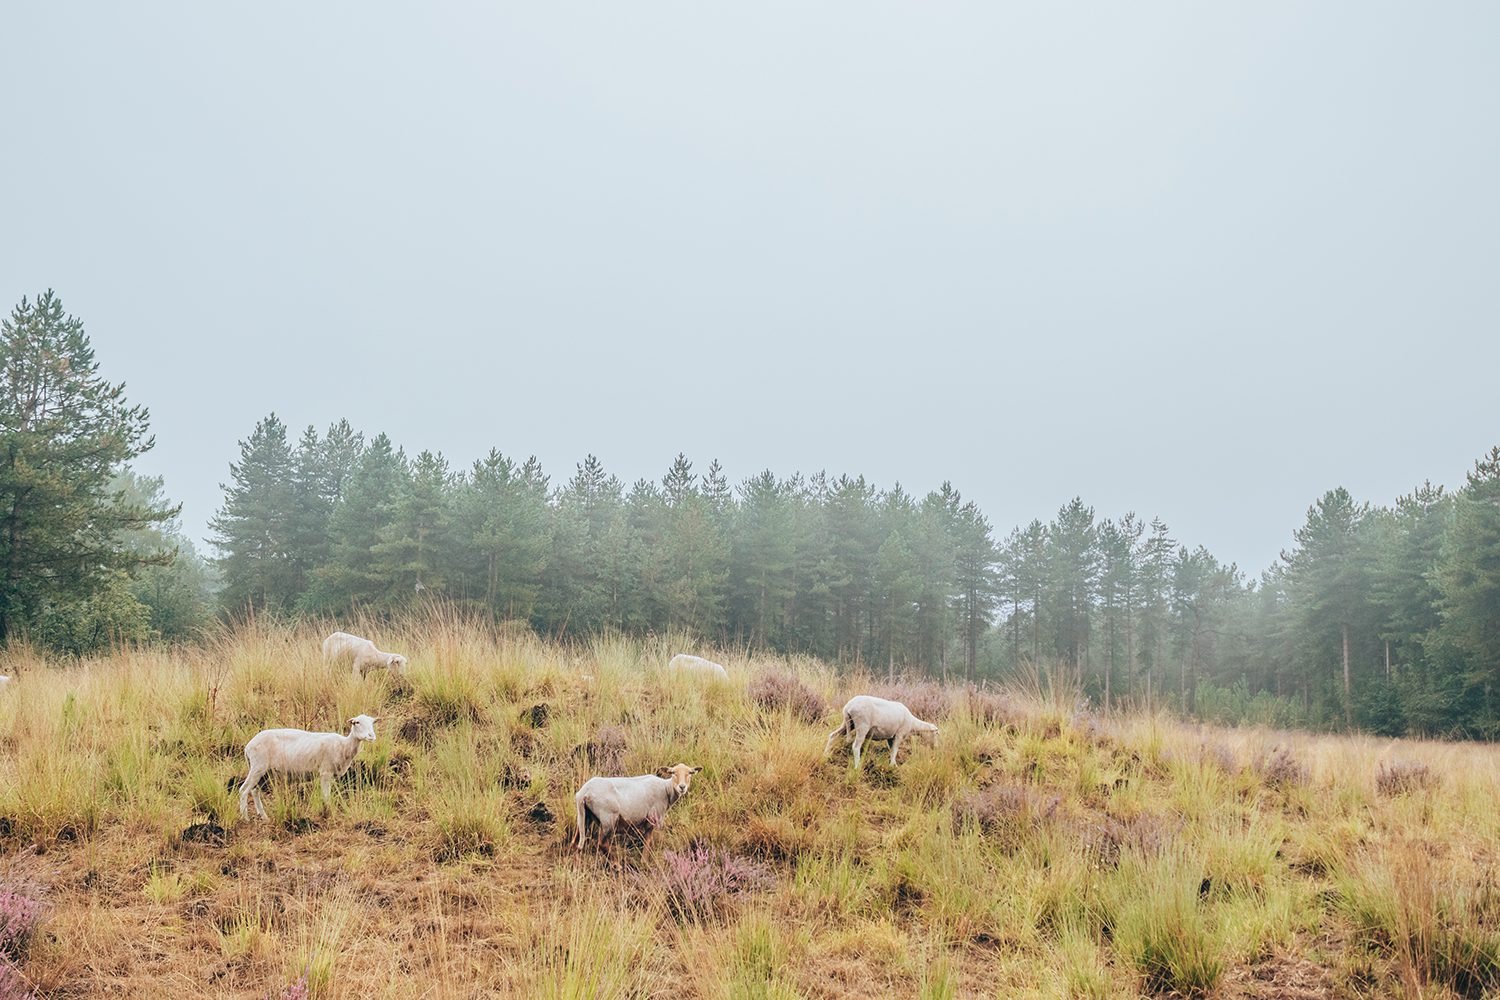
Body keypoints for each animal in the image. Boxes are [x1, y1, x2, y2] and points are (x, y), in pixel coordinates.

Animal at [238, 710, 381, 821]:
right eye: (356, 722)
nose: (371, 736)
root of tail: (248, 746)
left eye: (372, 723)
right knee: (243, 790)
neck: (343, 746)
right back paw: (246, 818)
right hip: (258, 767)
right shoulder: (325, 772)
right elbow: (326, 797)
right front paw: (328, 814)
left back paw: (264, 817)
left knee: (255, 791)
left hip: (265, 772)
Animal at [573, 761, 702, 851]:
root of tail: (584, 792)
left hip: (584, 815)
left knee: (576, 839)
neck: (666, 790)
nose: (682, 787)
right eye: (673, 773)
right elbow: (647, 843)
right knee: (602, 844)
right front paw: (644, 862)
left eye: (690, 773)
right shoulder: (652, 820)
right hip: (608, 818)